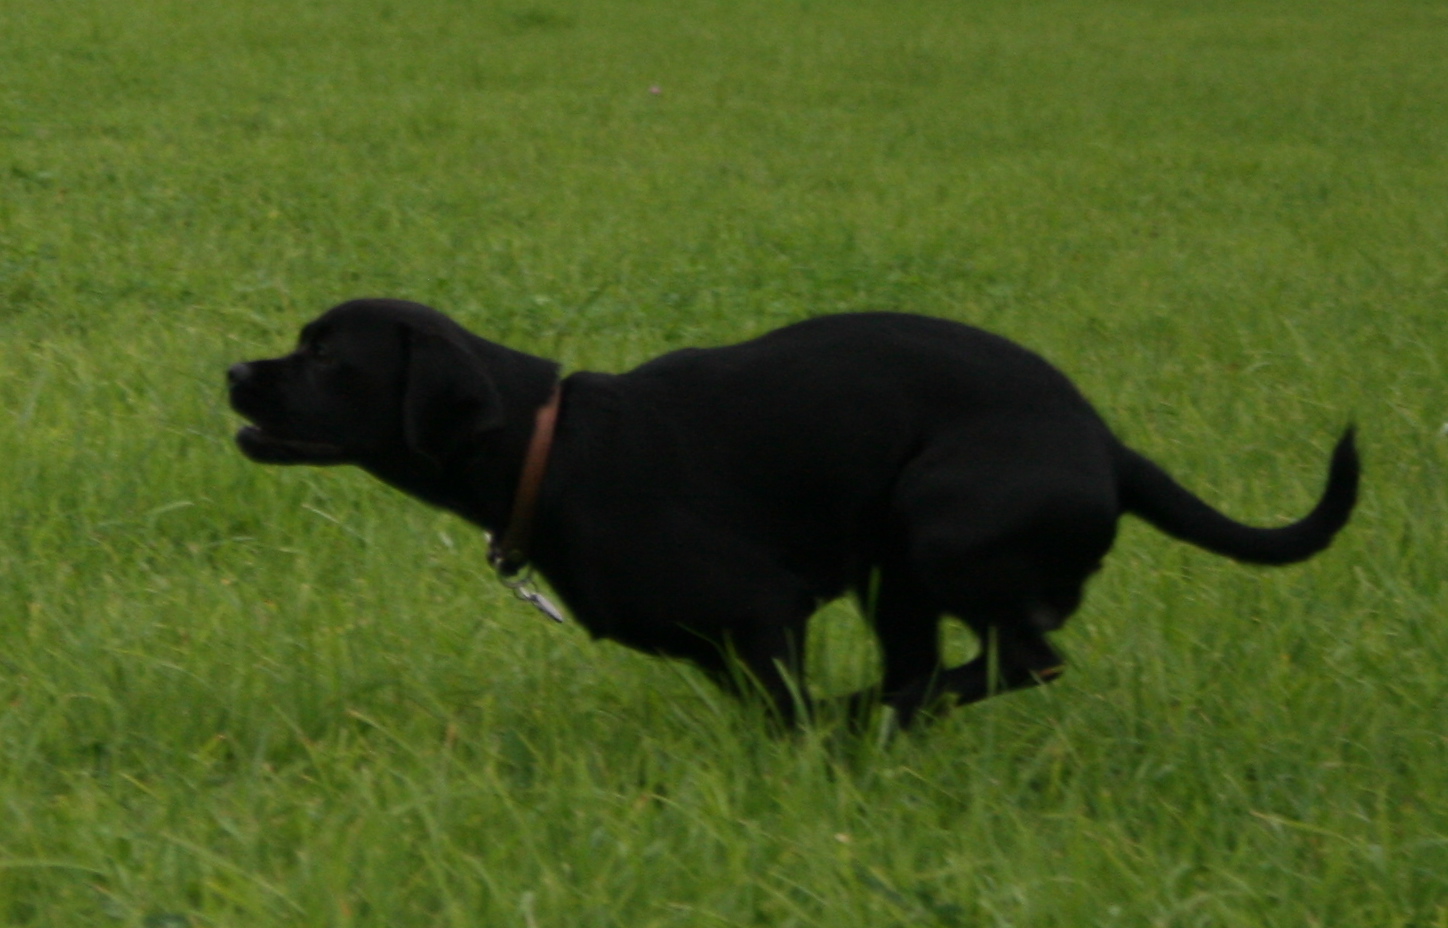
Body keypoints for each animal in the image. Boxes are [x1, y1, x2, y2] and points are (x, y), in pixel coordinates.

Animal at [225, 301, 1355, 726]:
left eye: (326, 357)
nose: (234, 372)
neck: (546, 448)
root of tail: (1109, 447)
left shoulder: (762, 612)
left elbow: (782, 711)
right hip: (893, 570)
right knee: (937, 666)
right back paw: (884, 720)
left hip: (935, 520)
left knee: (1024, 656)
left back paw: (867, 718)